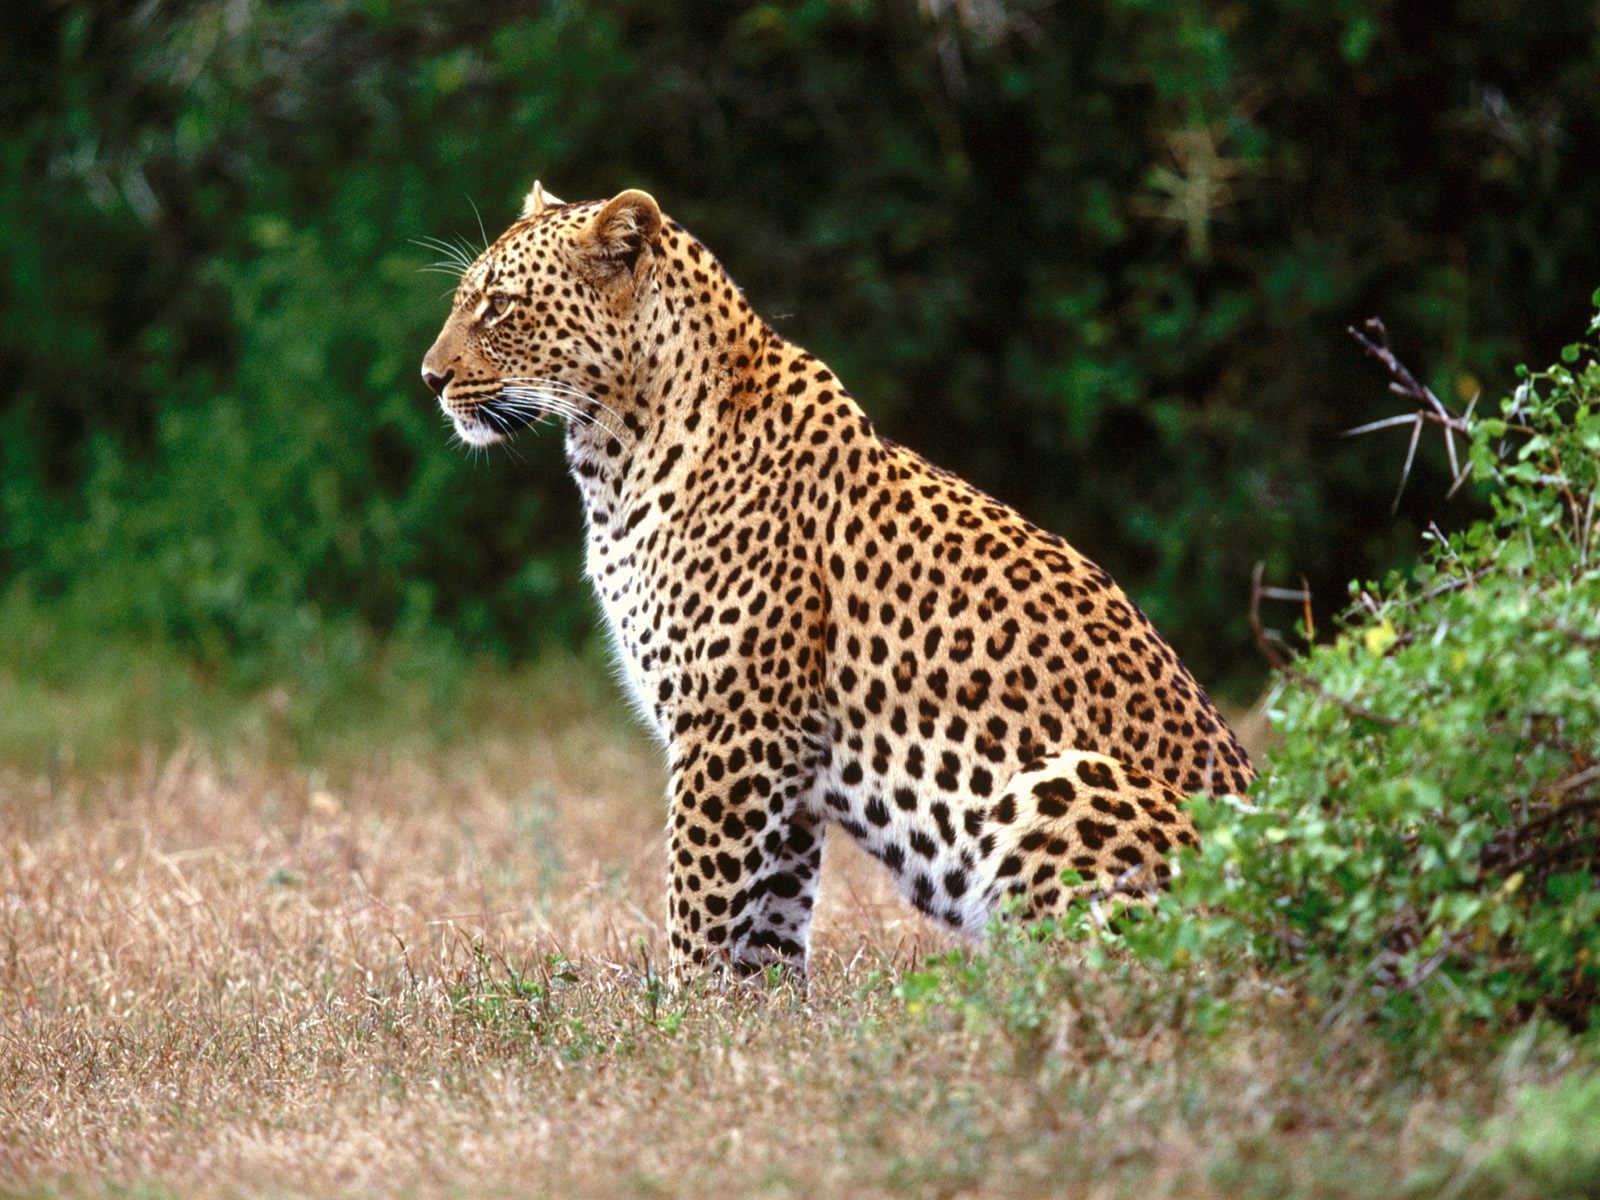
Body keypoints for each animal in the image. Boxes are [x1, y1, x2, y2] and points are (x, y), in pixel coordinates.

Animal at [419, 183, 1254, 979]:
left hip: (1069, 781)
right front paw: (754, 1022)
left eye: (500, 305)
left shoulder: (735, 730)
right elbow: (770, 925)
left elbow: (699, 904)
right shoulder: (785, 765)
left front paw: (678, 1016)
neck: (613, 458)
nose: (430, 378)